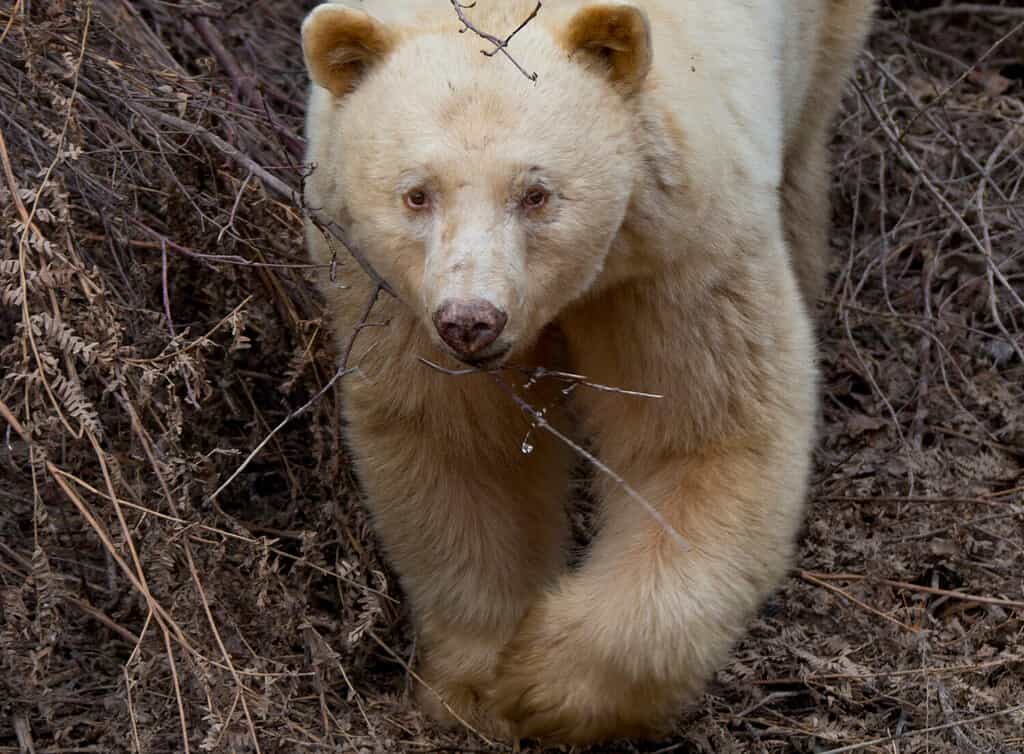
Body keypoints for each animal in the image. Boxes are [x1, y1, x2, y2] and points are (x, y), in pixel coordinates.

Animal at [299, 0, 876, 741]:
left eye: (537, 194)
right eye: (416, 195)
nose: (471, 320)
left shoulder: (673, 255)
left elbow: (699, 437)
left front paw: (544, 681)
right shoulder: (390, 293)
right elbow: (462, 449)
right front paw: (476, 683)